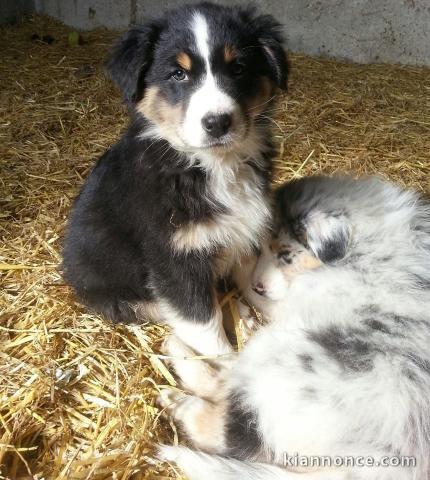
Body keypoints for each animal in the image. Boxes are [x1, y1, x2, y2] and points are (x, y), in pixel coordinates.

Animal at [61, 2, 288, 356]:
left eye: (238, 68)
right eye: (178, 74)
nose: (217, 123)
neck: (211, 165)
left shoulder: (246, 228)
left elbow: (250, 279)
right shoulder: (175, 259)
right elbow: (204, 322)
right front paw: (227, 361)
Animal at [160, 176, 430, 480]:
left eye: (286, 255)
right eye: (261, 247)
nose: (259, 285)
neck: (366, 240)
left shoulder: (297, 297)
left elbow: (254, 290)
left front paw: (240, 279)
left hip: (281, 354)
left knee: (223, 414)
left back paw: (176, 386)